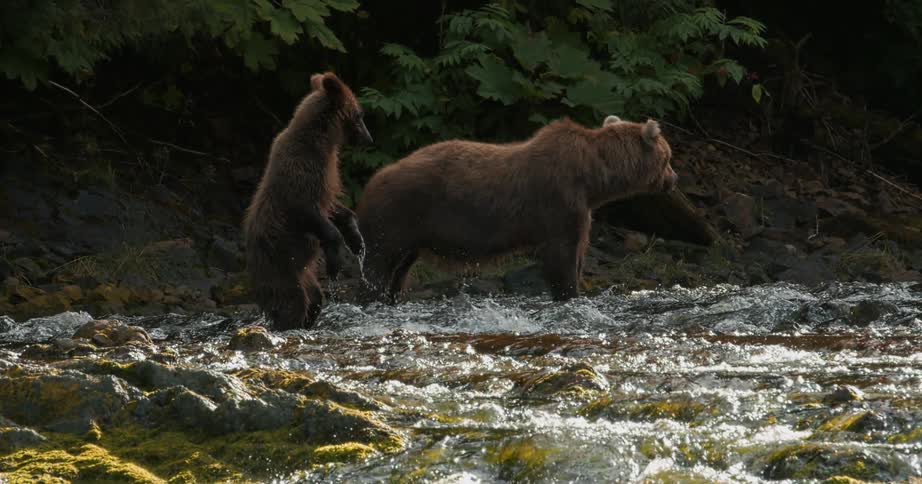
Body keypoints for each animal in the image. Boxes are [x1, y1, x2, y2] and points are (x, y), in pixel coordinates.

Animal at [243, 71, 372, 330]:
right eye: (360, 115)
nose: (369, 138)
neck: (321, 141)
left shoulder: (326, 177)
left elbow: (334, 208)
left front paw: (356, 239)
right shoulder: (299, 176)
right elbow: (310, 212)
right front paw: (335, 260)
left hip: (304, 272)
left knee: (314, 299)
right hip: (279, 264)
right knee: (290, 301)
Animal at [355, 114, 677, 304]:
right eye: (669, 156)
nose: (674, 179)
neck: (593, 178)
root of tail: (372, 181)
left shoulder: (581, 211)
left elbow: (577, 251)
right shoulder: (559, 204)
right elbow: (561, 257)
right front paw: (568, 293)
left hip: (412, 230)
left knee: (399, 269)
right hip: (397, 214)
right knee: (377, 264)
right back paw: (370, 297)